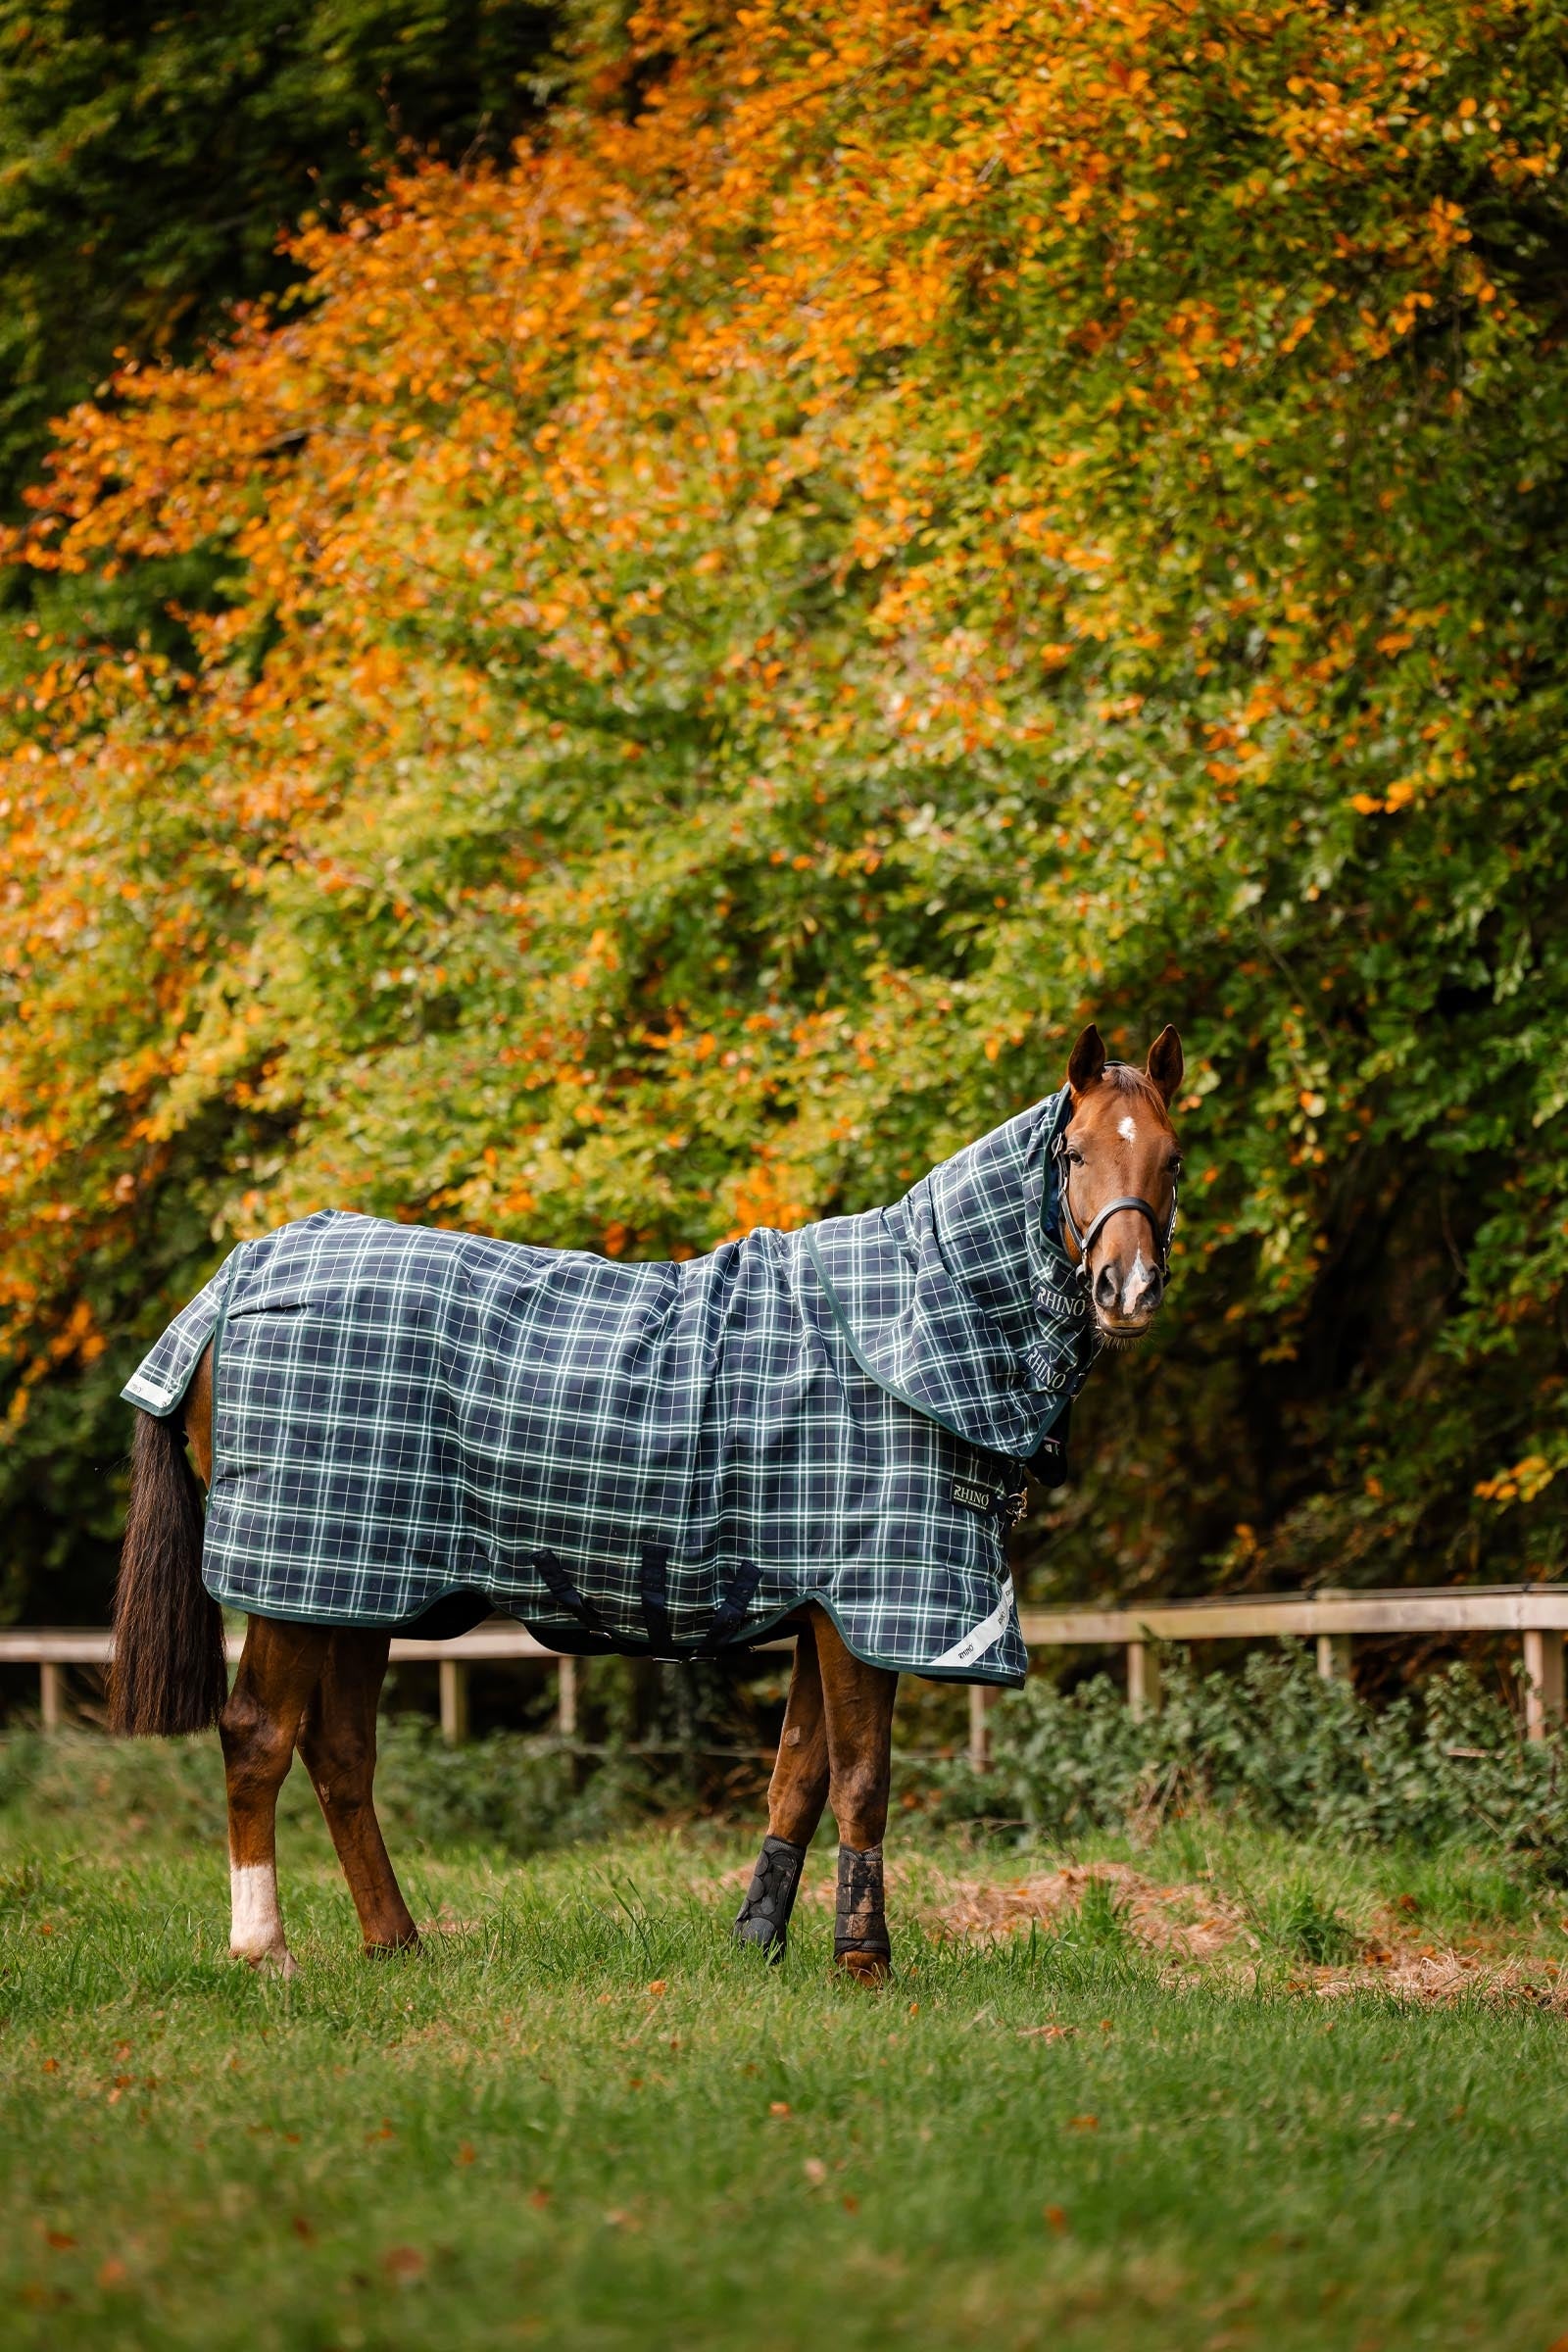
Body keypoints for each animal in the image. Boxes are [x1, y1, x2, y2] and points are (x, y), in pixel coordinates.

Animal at [108, 1021, 1183, 1981]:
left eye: (1171, 1160)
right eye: (1074, 1153)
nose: (1125, 1289)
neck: (908, 1329)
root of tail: (240, 1273)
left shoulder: (818, 1607)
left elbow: (798, 1773)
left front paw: (759, 1941)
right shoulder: (865, 1608)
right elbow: (861, 1778)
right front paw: (862, 1961)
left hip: (354, 1588)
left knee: (340, 1753)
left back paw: (397, 1944)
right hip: (295, 1580)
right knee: (258, 1736)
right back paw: (265, 1950)